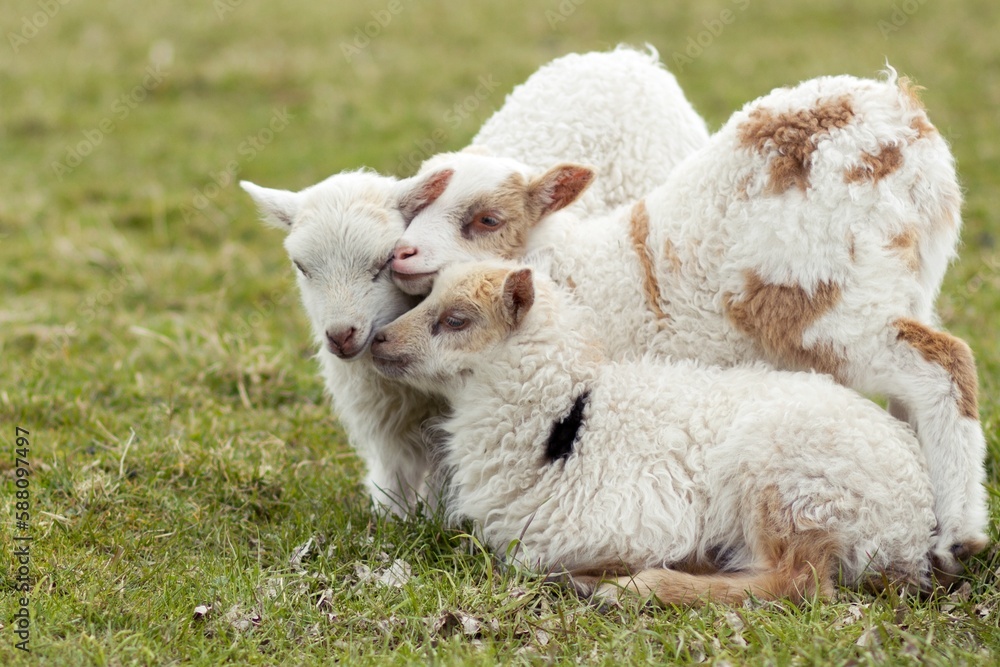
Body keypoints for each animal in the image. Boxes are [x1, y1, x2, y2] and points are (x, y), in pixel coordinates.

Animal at [241, 48, 709, 516]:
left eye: (381, 263)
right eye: (302, 267)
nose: (340, 336)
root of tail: (624, 56)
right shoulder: (390, 424)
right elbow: (396, 475)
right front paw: (393, 518)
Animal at [369, 260, 940, 605]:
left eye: (457, 320)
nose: (378, 340)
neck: (565, 422)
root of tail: (909, 525)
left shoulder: (634, 520)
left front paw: (609, 579)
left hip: (790, 480)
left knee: (799, 581)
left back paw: (630, 589)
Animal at [389, 71, 988, 569]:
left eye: (487, 220)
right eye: (412, 205)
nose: (401, 253)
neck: (574, 266)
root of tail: (898, 116)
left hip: (830, 303)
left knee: (943, 364)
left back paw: (959, 535)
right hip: (907, 283)